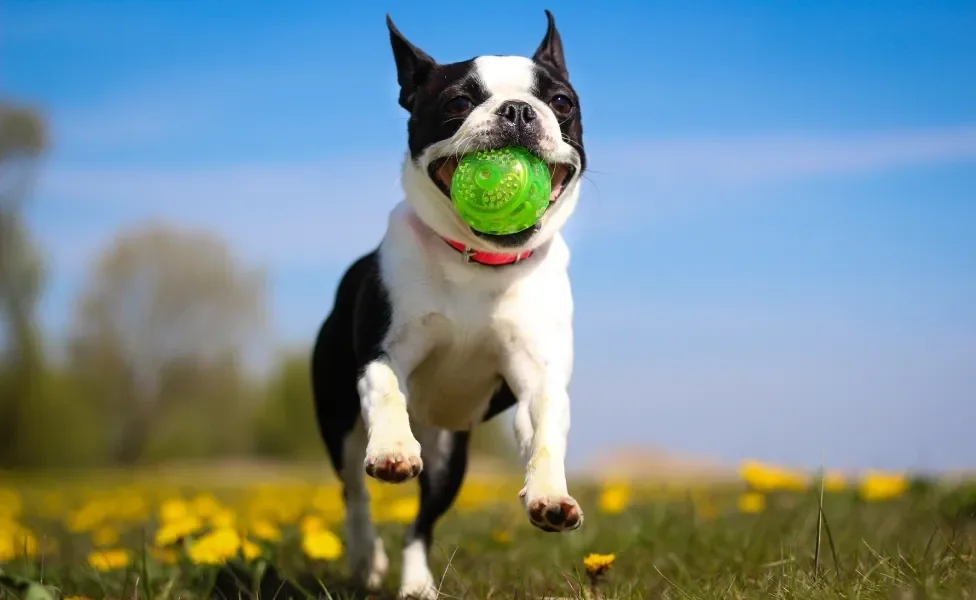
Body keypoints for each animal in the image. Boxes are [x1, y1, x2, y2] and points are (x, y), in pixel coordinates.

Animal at [312, 10, 588, 600]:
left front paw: (551, 496)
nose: (517, 109)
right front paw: (393, 450)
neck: (480, 264)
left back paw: (415, 583)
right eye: (459, 102)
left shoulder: (538, 380)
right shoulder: (382, 354)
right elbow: (386, 393)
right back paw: (366, 559)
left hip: (448, 457)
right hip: (337, 418)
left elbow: (546, 434)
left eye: (561, 102)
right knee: (354, 493)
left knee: (420, 525)